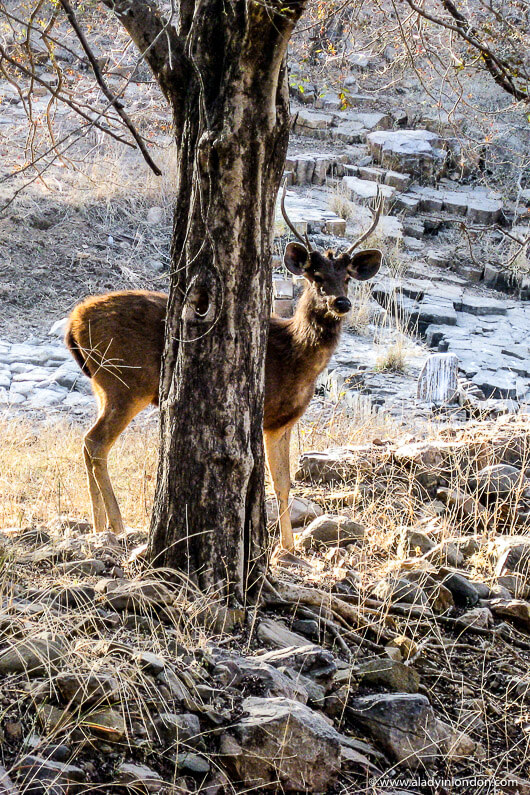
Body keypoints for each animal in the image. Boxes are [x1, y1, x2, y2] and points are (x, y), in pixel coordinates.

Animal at [65, 185, 382, 551]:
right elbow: (270, 480)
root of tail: (74, 323)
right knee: (95, 442)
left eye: (346, 278)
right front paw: (279, 547)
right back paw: (117, 525)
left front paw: (289, 548)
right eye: (315, 277)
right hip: (125, 381)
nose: (340, 303)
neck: (296, 356)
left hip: (102, 385)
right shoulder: (262, 413)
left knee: (87, 442)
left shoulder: (283, 420)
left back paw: (98, 524)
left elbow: (284, 483)